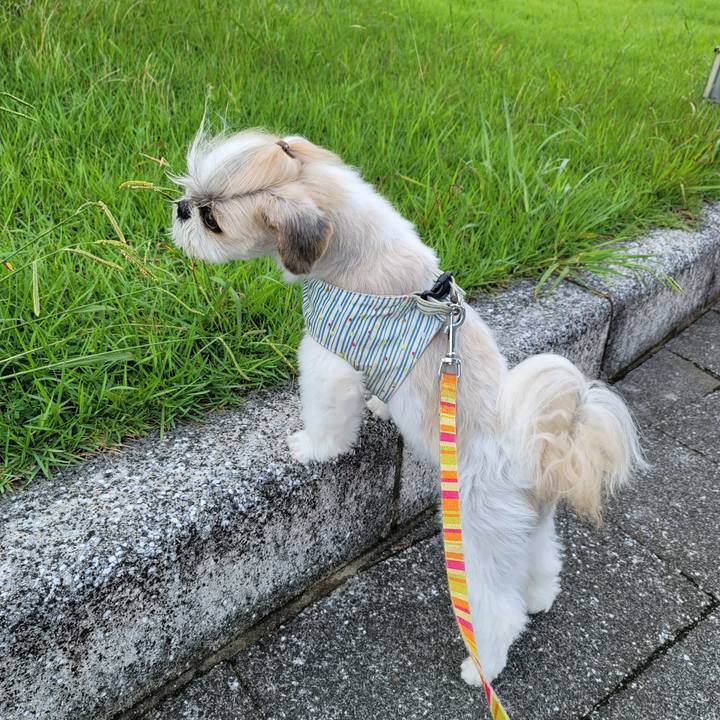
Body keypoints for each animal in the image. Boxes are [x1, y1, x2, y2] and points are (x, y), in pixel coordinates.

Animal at [170, 129, 644, 684]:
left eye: (212, 220)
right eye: (193, 197)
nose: (181, 208)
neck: (352, 251)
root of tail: (539, 455)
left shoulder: (328, 357)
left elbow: (328, 417)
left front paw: (310, 448)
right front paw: (379, 404)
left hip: (479, 538)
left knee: (498, 611)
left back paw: (482, 667)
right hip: (527, 531)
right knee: (544, 562)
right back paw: (541, 597)